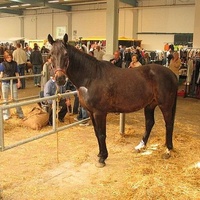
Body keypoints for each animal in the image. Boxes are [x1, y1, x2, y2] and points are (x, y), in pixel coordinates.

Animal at [47, 34, 177, 167]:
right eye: (51, 54)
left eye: (66, 54)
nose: (60, 79)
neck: (91, 77)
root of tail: (171, 74)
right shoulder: (91, 112)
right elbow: (96, 133)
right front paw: (100, 154)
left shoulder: (100, 113)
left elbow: (101, 134)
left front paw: (103, 158)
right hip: (150, 105)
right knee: (150, 123)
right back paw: (140, 146)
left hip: (165, 106)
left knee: (169, 124)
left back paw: (168, 150)